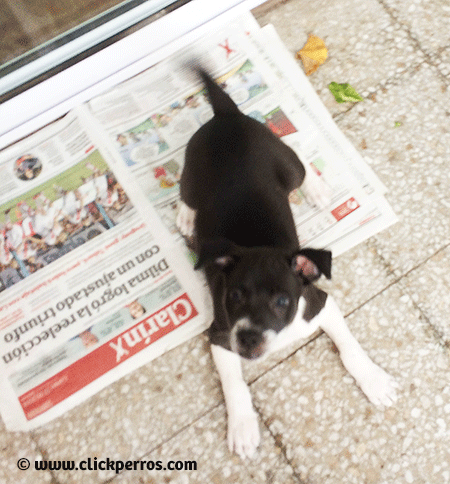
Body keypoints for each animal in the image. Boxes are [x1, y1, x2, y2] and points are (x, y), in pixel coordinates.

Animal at [176, 68, 398, 458]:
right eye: (234, 297)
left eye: (282, 301)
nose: (248, 339)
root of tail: (227, 116)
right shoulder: (219, 335)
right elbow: (234, 383)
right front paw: (243, 426)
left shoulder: (321, 302)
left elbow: (350, 347)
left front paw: (373, 380)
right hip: (191, 169)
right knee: (185, 195)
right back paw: (187, 218)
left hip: (284, 160)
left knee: (301, 165)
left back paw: (317, 190)